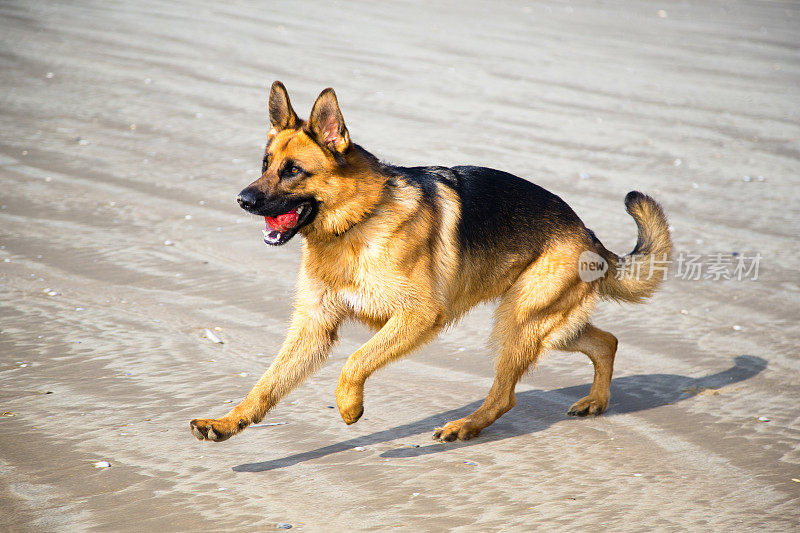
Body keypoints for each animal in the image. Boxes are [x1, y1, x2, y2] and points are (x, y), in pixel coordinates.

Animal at [188, 82, 668, 440]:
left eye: (292, 171)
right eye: (265, 164)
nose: (242, 199)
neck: (359, 220)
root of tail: (589, 235)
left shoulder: (417, 317)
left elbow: (355, 361)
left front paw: (349, 406)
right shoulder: (314, 327)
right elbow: (266, 384)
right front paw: (228, 422)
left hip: (518, 320)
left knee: (507, 394)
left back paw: (465, 426)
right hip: (546, 324)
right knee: (606, 342)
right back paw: (596, 401)